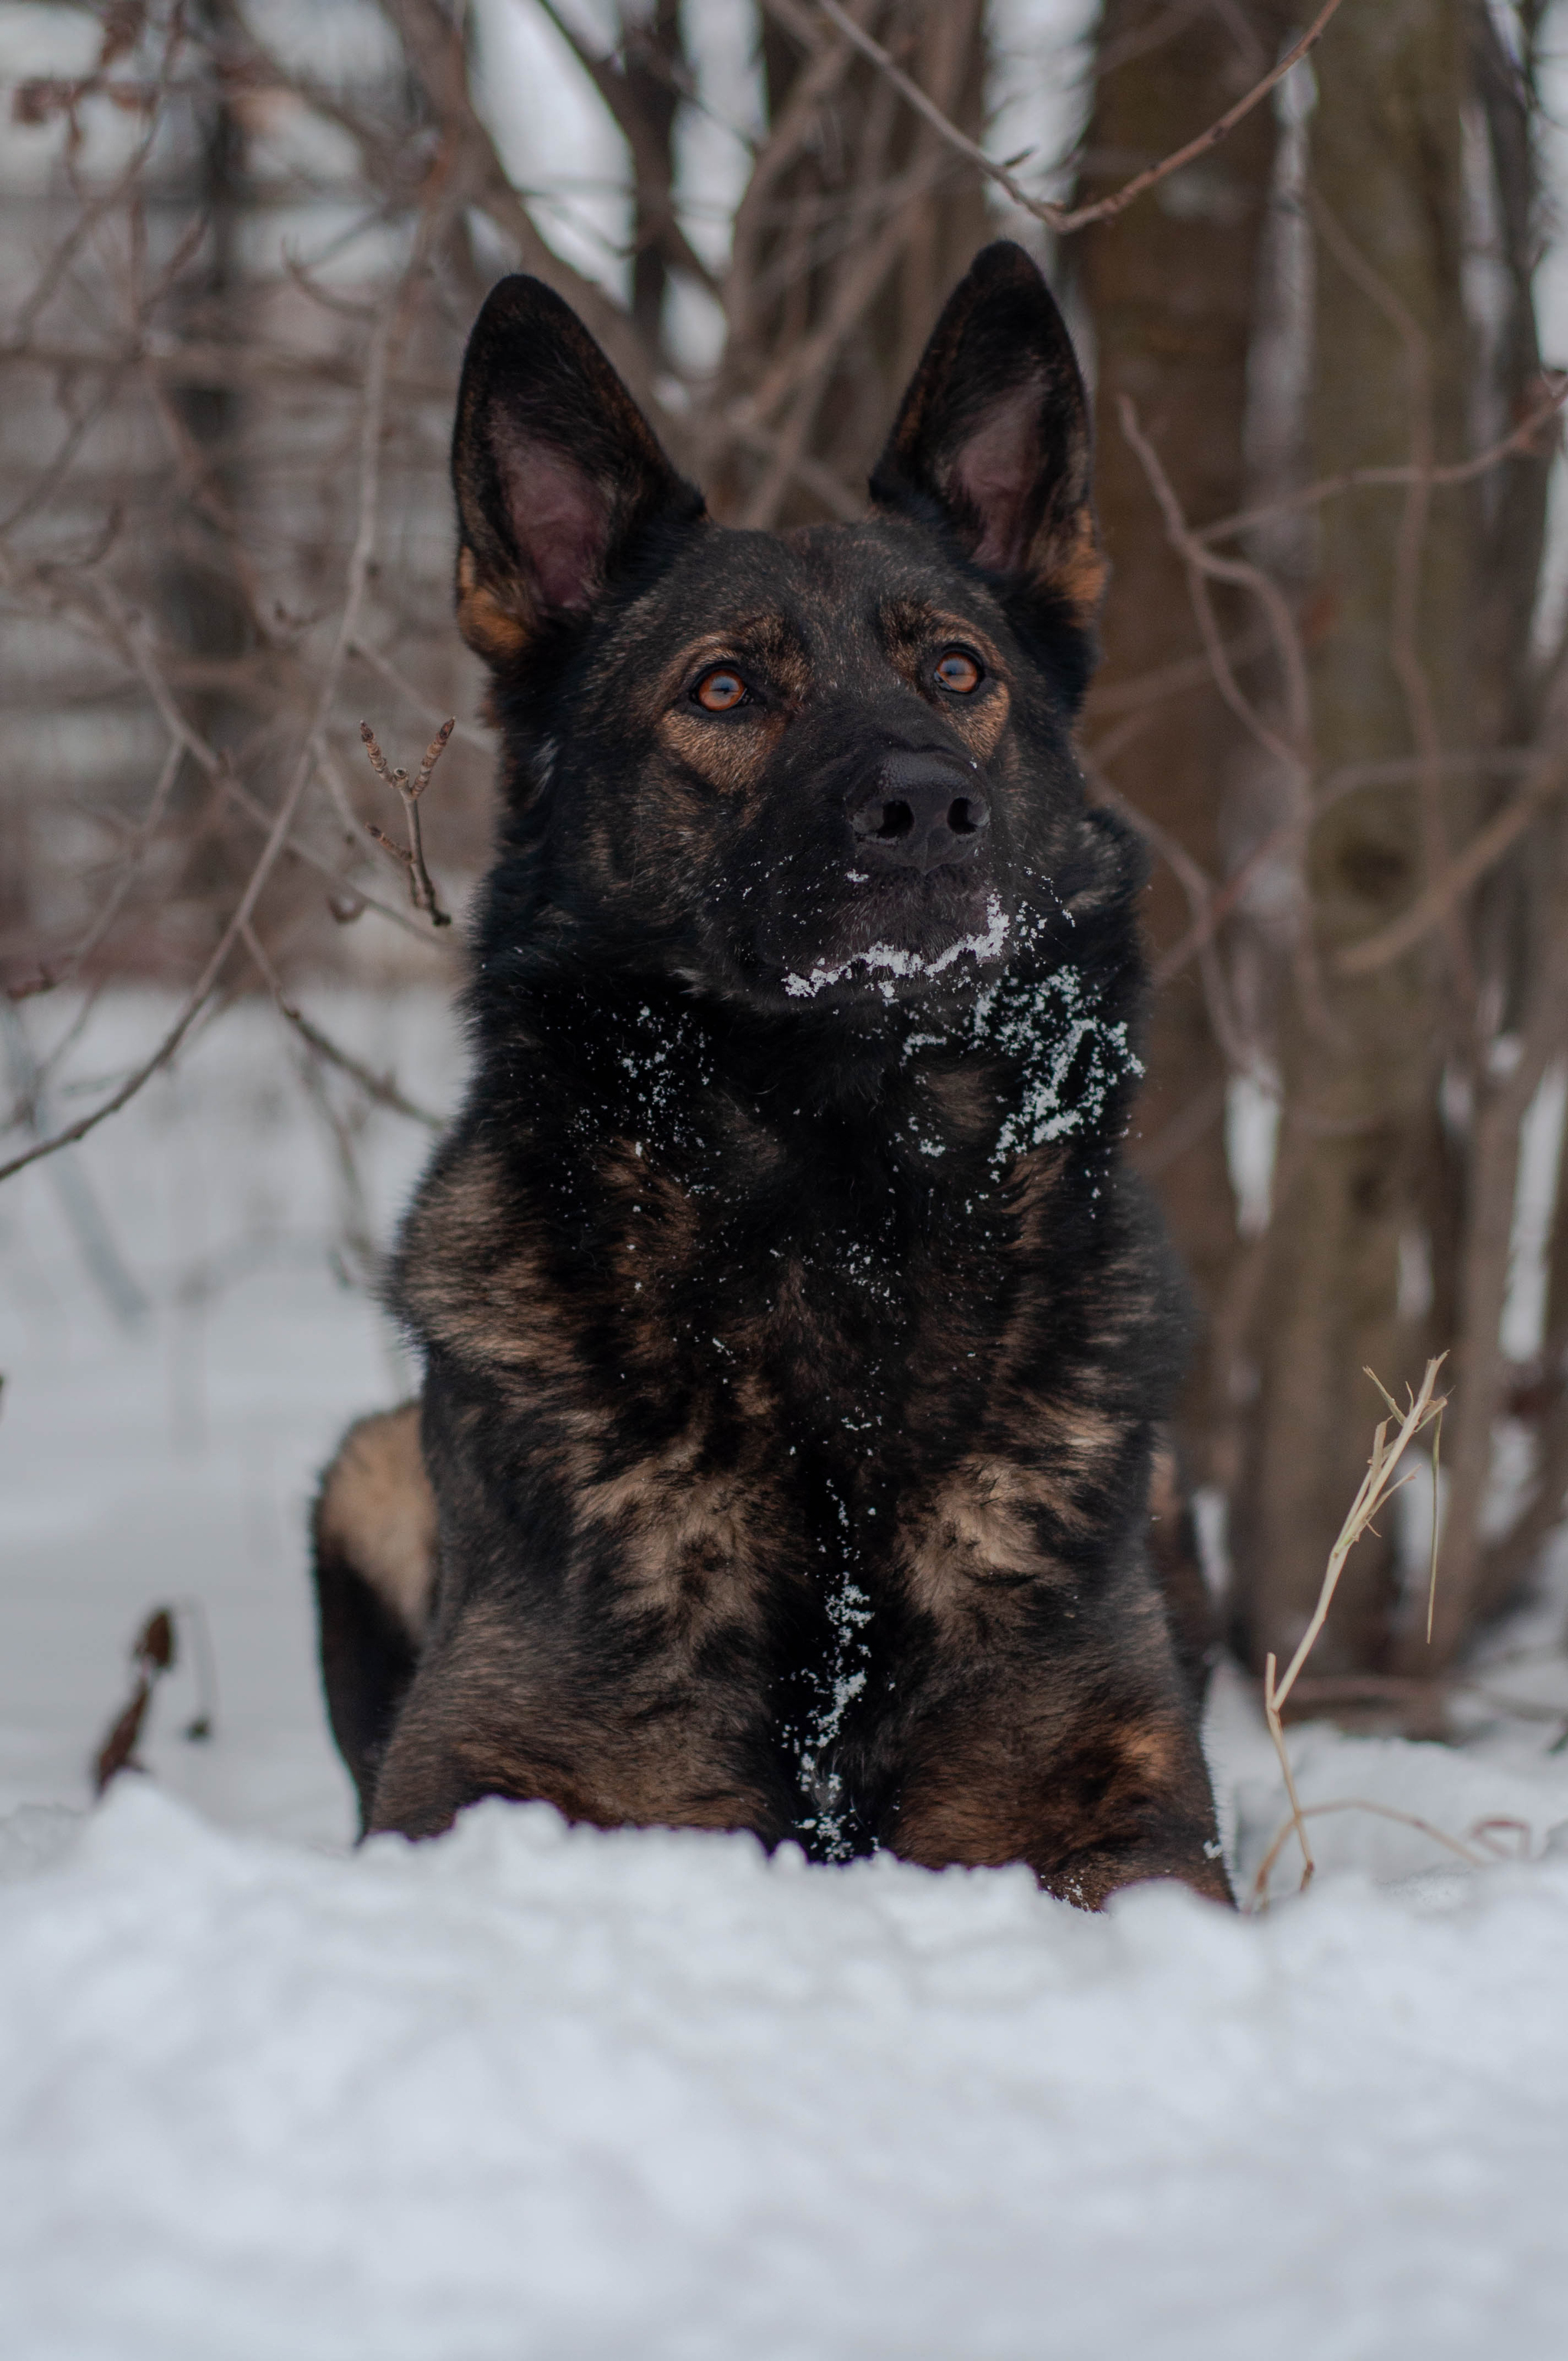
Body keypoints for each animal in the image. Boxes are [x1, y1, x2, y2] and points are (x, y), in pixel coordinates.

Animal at [309, 240, 1237, 1907]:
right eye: (724, 693)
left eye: (958, 672)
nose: (929, 810)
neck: (843, 1195)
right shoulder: (474, 1798)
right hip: (368, 1471)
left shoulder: (1122, 1814)